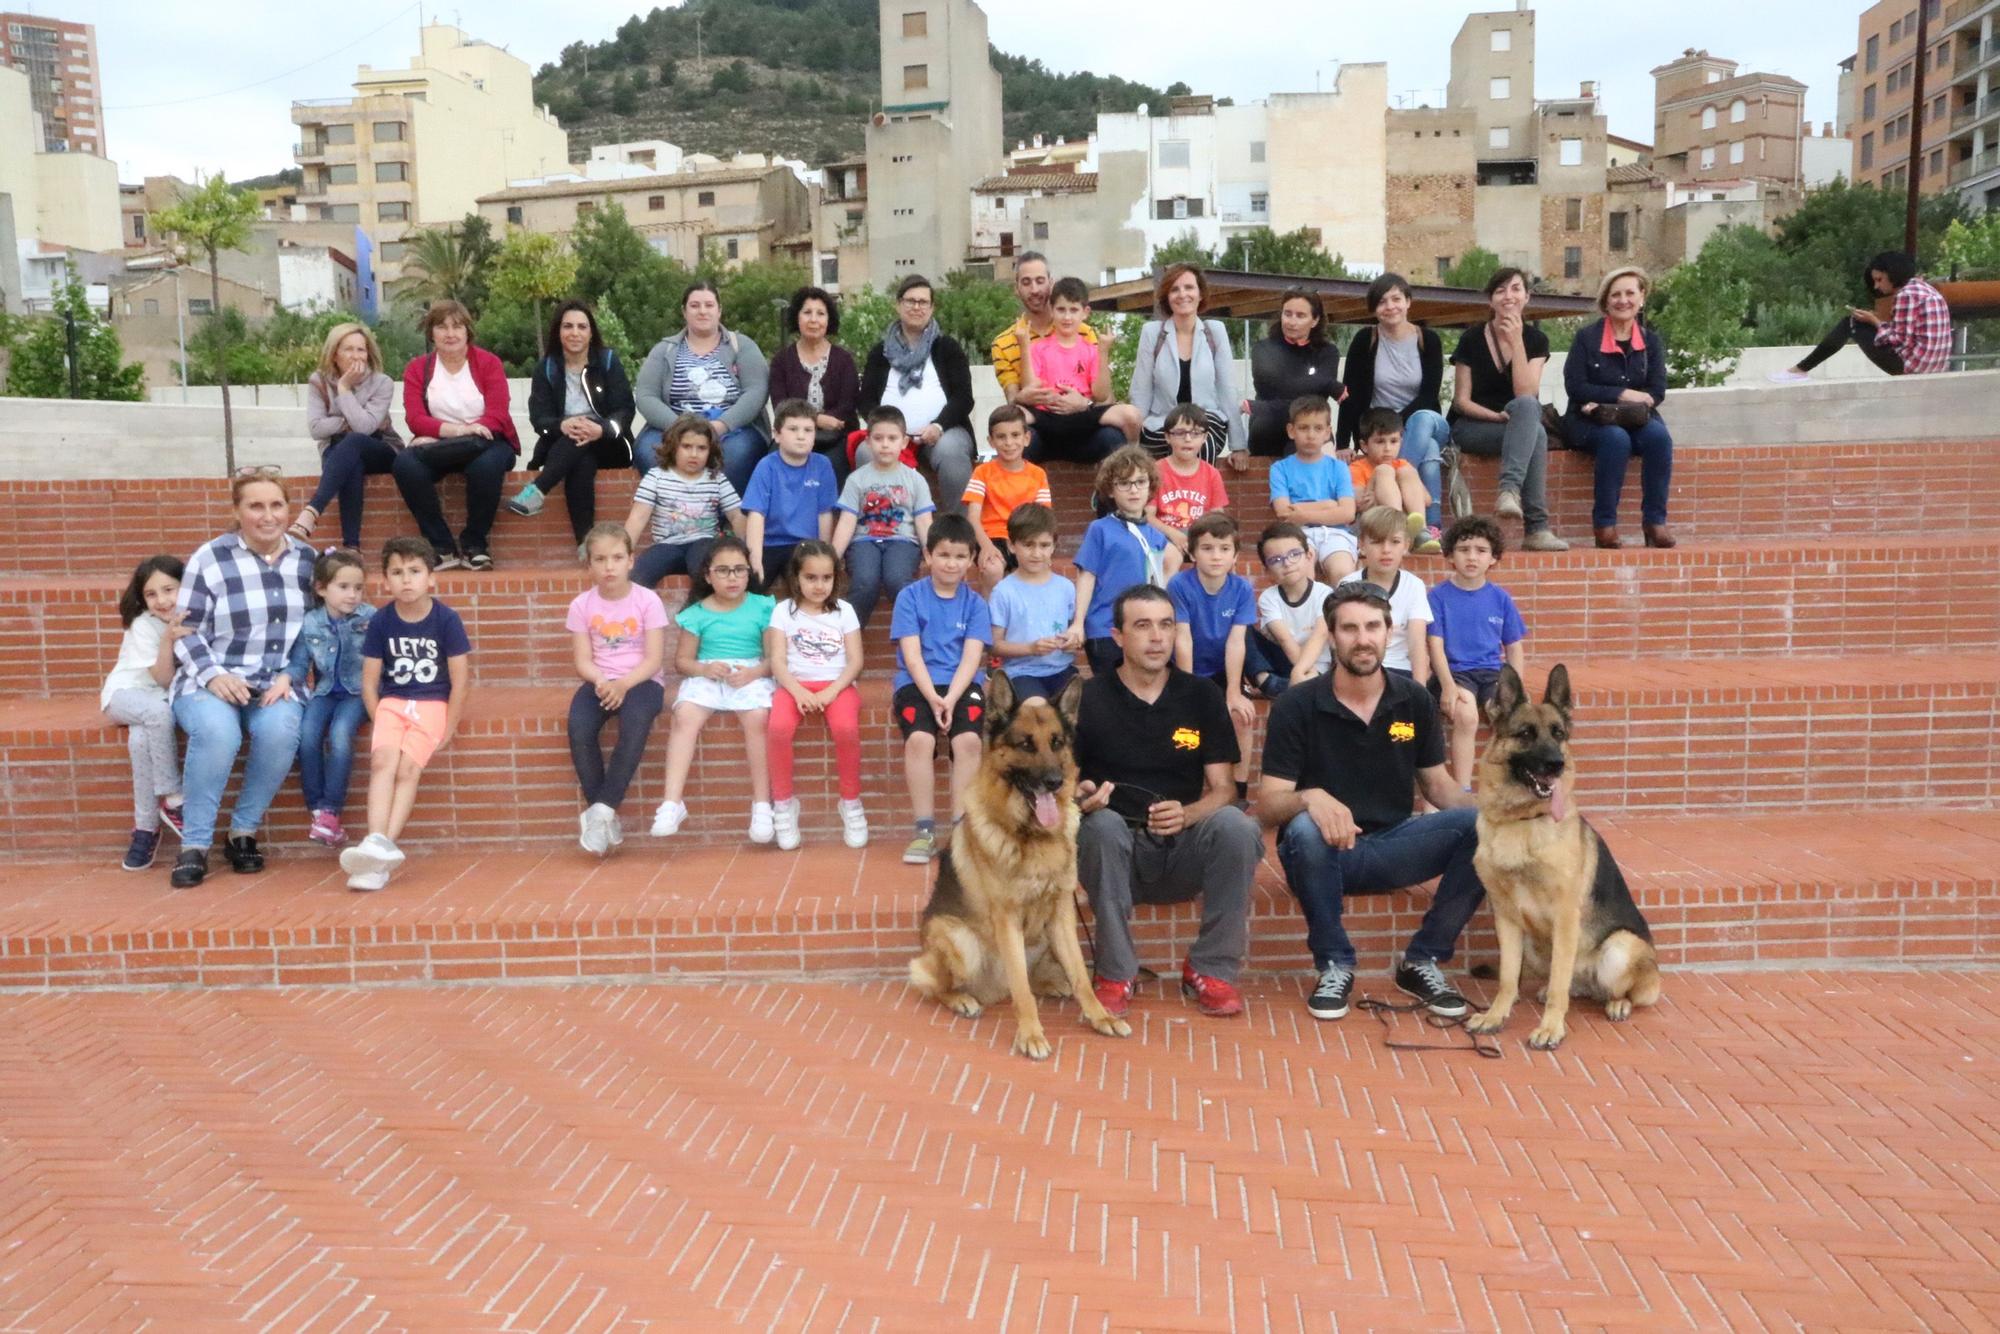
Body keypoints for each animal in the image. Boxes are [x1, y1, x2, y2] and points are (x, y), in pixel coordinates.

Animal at [904, 680, 1128, 1064]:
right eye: (1026, 744)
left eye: (1057, 742)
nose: (1055, 781)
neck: (1033, 836)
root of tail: (991, 991)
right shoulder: (1007, 919)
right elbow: (1021, 990)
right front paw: (1031, 1035)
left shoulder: (1062, 913)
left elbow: (1081, 975)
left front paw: (1100, 1017)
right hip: (958, 940)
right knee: (937, 985)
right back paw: (963, 999)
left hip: (1043, 940)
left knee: (1035, 977)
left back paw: (1054, 984)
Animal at [1464, 664, 1664, 1048]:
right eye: (1526, 734)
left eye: (1558, 734)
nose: (1555, 764)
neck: (1522, 820)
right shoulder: (1506, 917)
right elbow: (1508, 979)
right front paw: (1495, 1016)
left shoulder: (1565, 916)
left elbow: (1559, 984)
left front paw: (1550, 1028)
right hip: (1534, 946)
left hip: (1620, 947)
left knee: (1618, 990)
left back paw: (1617, 1004)